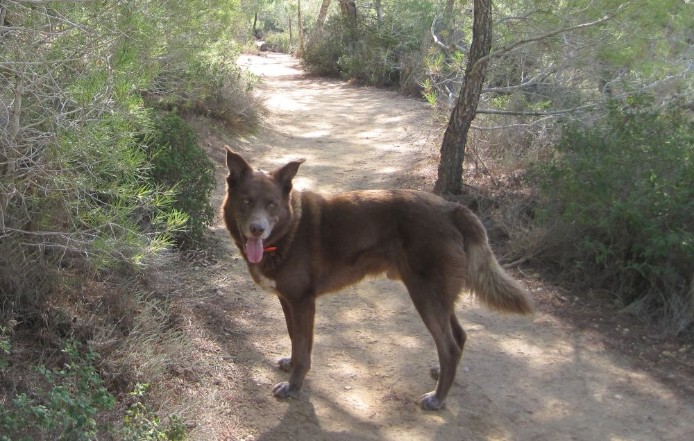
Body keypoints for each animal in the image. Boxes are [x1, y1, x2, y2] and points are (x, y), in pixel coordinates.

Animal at [223, 149, 532, 410]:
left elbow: (303, 347)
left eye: (272, 204)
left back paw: (438, 398)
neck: (289, 230)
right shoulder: (288, 300)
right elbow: (293, 338)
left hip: (425, 296)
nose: (257, 229)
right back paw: (441, 373)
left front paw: (294, 387)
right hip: (440, 296)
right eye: (247, 201)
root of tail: (452, 209)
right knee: (458, 336)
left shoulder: (303, 302)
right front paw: (290, 363)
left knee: (450, 346)